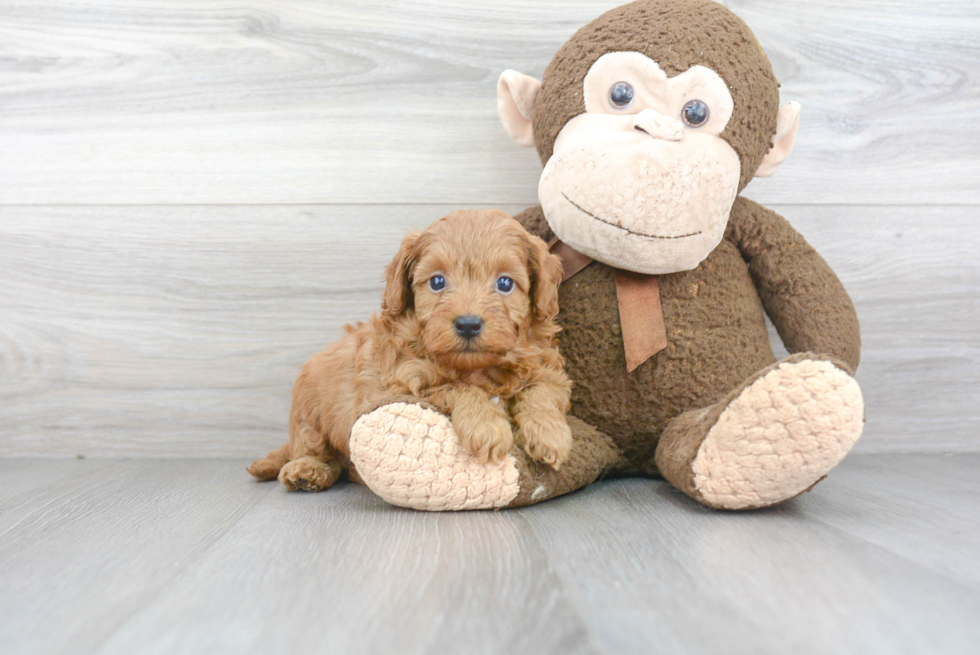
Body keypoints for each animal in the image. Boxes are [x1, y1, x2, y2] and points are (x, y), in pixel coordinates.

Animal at [245, 210, 580, 492]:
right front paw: (487, 426)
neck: (476, 367)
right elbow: (457, 387)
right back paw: (307, 470)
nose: (468, 324)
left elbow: (539, 391)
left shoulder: (548, 370)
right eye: (437, 281)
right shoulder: (404, 383)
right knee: (313, 449)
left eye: (505, 283)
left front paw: (550, 434)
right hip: (309, 408)